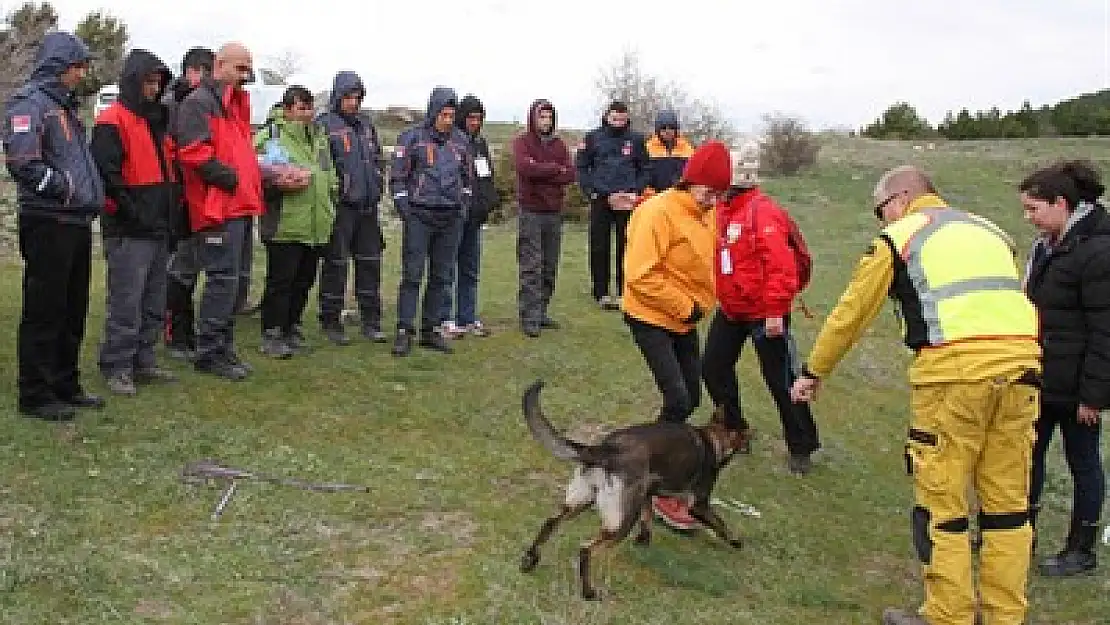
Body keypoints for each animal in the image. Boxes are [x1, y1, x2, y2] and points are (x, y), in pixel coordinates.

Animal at [517, 379, 745, 599]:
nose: (752, 439)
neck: (712, 439)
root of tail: (604, 450)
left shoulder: (646, 494)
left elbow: (647, 517)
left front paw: (643, 541)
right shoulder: (699, 505)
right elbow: (721, 524)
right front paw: (736, 542)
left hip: (580, 501)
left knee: (550, 522)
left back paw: (530, 559)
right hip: (620, 523)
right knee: (586, 549)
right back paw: (589, 592)